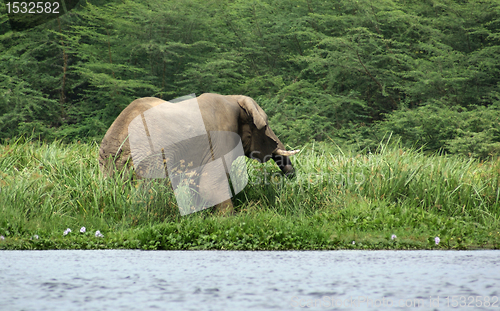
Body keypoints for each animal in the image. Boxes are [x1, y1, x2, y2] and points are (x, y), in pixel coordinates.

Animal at [99, 92, 298, 214]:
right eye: (266, 125)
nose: (292, 176)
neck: (233, 99)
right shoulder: (221, 137)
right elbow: (210, 184)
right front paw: (228, 217)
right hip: (151, 157)